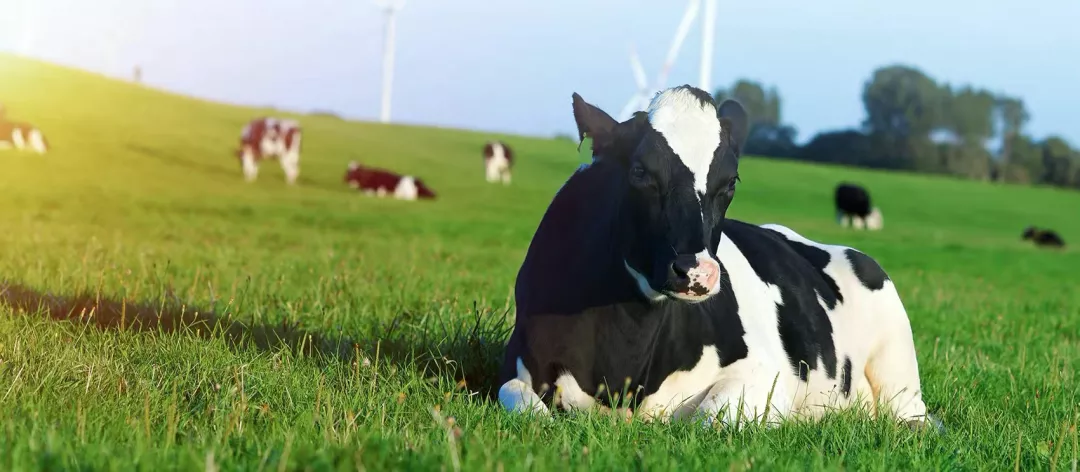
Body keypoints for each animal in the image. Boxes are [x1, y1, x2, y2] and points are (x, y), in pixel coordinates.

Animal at [496, 84, 937, 429]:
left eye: (730, 182)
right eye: (640, 171)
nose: (697, 273)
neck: (622, 358)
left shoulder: (766, 373)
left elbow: (710, 419)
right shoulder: (520, 364)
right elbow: (521, 404)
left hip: (899, 376)